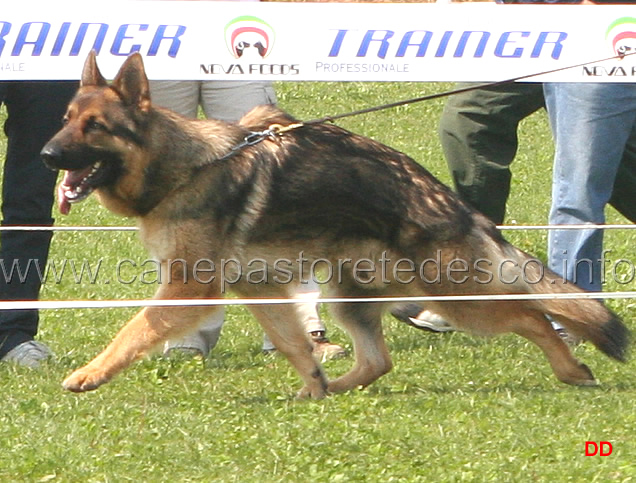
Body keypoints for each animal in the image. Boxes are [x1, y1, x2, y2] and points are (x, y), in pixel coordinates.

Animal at [42, 53, 628, 398]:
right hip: (350, 296)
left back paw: (572, 371)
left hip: (457, 296)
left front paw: (90, 373)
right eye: (66, 119)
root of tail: (455, 204)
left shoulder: (191, 287)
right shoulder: (259, 286)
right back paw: (335, 388)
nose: (47, 156)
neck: (183, 166)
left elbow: (133, 329)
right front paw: (315, 383)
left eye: (95, 126)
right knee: (379, 361)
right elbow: (294, 343)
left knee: (531, 315)